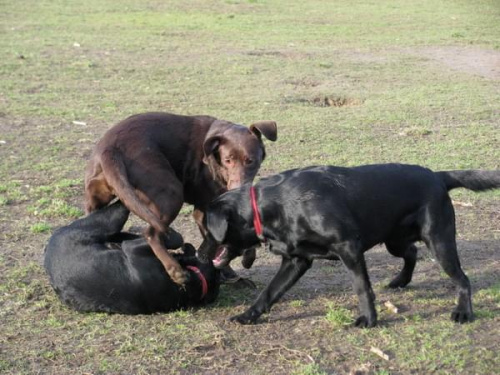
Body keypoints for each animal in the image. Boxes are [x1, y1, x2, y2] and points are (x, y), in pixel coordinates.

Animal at [83, 111, 276, 284]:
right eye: (228, 160)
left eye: (250, 160)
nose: (238, 189)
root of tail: (110, 149)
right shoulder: (207, 212)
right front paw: (240, 262)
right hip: (171, 191)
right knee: (151, 233)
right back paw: (175, 270)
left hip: (98, 197)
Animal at [199, 163, 500, 328]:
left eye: (207, 231)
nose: (199, 255)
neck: (271, 205)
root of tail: (438, 176)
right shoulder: (296, 260)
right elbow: (269, 292)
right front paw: (248, 316)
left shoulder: (348, 247)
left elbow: (361, 286)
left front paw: (368, 319)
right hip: (394, 240)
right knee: (412, 252)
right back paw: (400, 281)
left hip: (439, 242)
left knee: (462, 279)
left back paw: (463, 312)